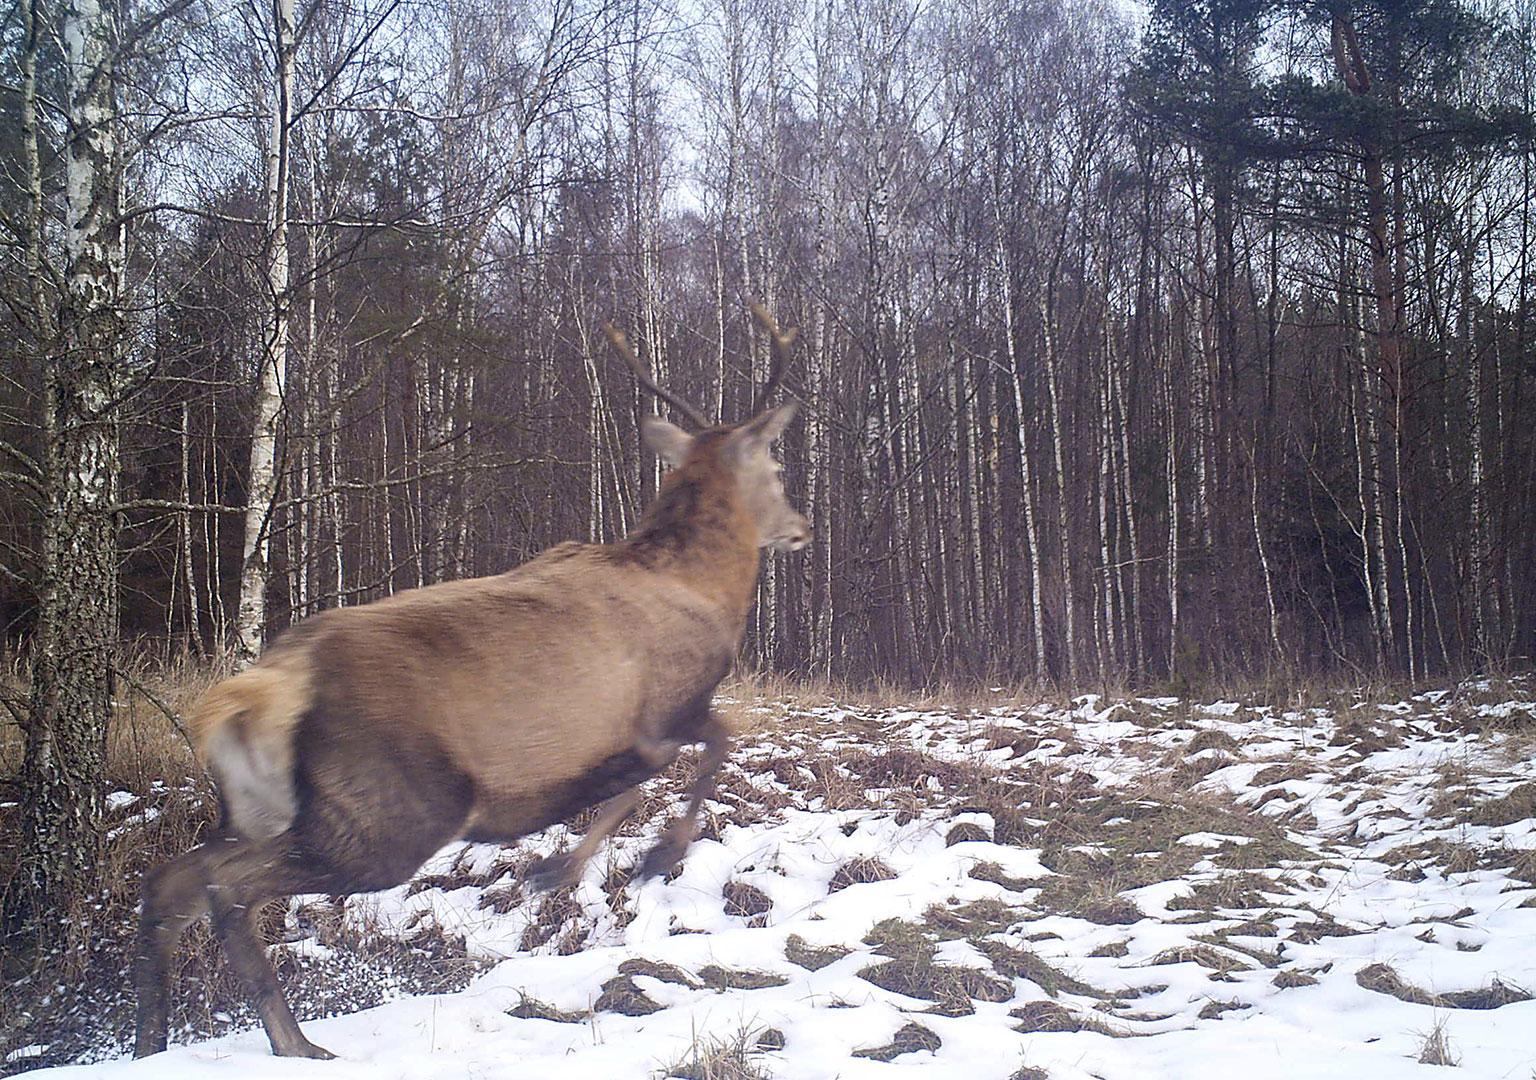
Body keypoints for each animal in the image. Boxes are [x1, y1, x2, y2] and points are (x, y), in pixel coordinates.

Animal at [133, 308, 811, 1063]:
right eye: (777, 466)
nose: (802, 528)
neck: (706, 590)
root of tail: (258, 695)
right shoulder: (669, 705)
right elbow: (707, 750)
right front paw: (652, 855)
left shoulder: (627, 736)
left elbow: (634, 786)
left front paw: (558, 868)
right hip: (390, 811)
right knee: (228, 886)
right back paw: (295, 1044)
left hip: (259, 809)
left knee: (170, 882)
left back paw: (153, 1039)